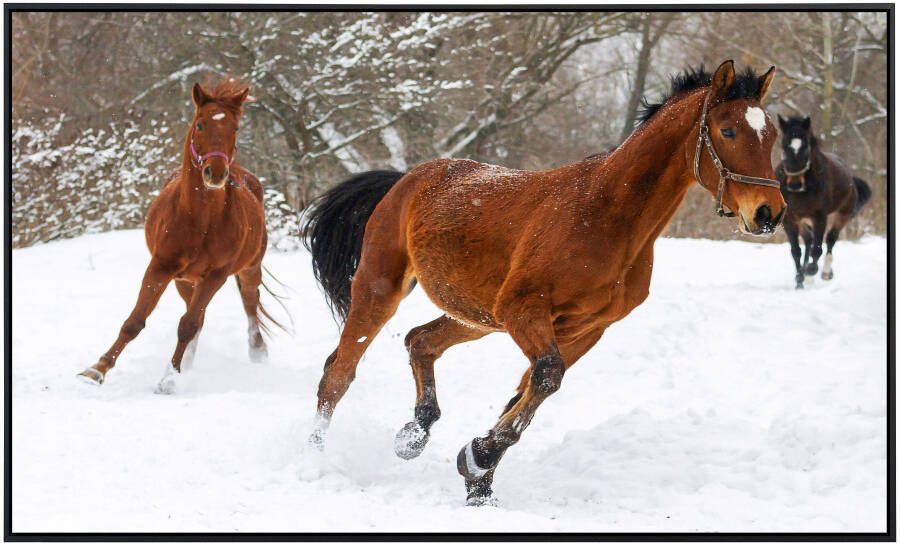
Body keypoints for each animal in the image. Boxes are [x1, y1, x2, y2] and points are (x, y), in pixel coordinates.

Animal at [79, 81, 280, 394]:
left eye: (235, 128)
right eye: (200, 124)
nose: (215, 173)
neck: (201, 219)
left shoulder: (217, 275)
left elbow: (187, 326)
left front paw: (169, 379)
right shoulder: (161, 267)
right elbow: (135, 321)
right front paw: (96, 370)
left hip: (248, 269)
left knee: (247, 303)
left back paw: (256, 351)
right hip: (185, 281)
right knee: (198, 315)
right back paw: (191, 360)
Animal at [302, 60, 780, 506]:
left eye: (772, 134)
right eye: (727, 130)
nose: (768, 213)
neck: (606, 216)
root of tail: (405, 180)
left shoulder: (584, 329)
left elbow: (526, 393)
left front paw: (478, 479)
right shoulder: (524, 311)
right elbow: (546, 378)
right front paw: (477, 460)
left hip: (477, 316)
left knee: (420, 341)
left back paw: (413, 436)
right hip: (381, 288)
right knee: (338, 372)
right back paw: (315, 458)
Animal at [772, 116, 872, 288]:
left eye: (806, 147)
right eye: (784, 146)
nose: (795, 184)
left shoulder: (819, 217)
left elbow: (817, 248)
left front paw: (811, 271)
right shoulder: (789, 219)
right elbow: (796, 251)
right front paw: (799, 281)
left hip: (842, 214)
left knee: (830, 239)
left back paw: (825, 273)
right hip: (803, 220)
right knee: (808, 240)